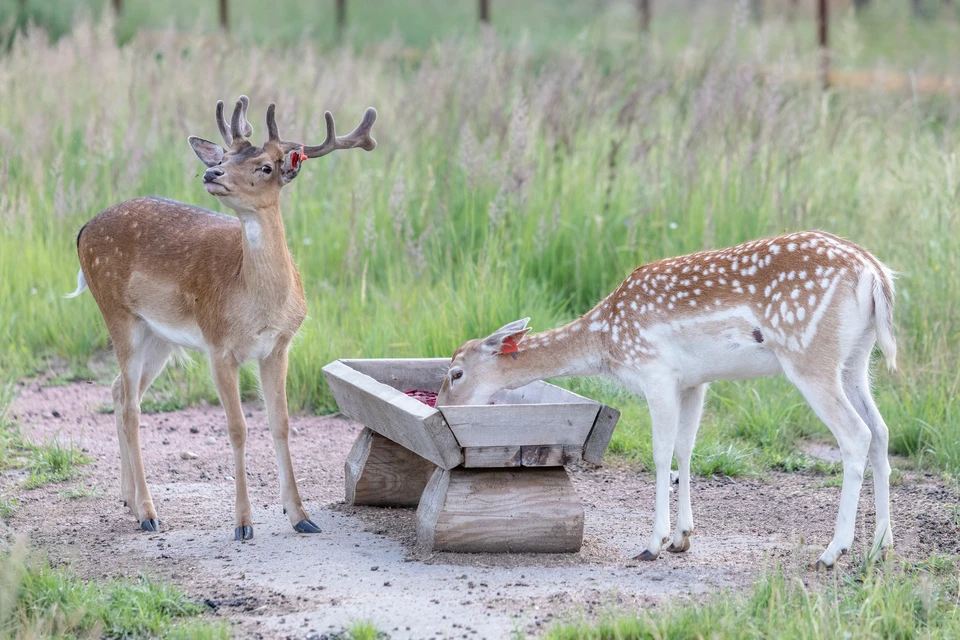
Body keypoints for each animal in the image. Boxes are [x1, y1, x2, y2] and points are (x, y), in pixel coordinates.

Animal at [64, 95, 376, 540]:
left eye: (266, 166)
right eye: (227, 157)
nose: (212, 172)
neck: (257, 302)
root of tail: (83, 229)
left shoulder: (278, 347)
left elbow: (281, 423)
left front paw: (301, 517)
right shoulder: (218, 345)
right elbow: (237, 427)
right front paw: (243, 524)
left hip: (159, 336)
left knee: (119, 391)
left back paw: (129, 500)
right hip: (117, 313)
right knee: (131, 408)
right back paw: (148, 513)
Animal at [438, 232, 896, 568]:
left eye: (455, 372)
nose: (442, 405)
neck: (606, 339)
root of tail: (875, 274)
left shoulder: (654, 371)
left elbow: (659, 453)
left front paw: (653, 543)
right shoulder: (695, 382)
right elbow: (685, 449)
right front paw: (682, 538)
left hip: (809, 354)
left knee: (855, 434)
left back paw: (832, 553)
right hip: (856, 359)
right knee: (880, 430)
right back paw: (880, 546)